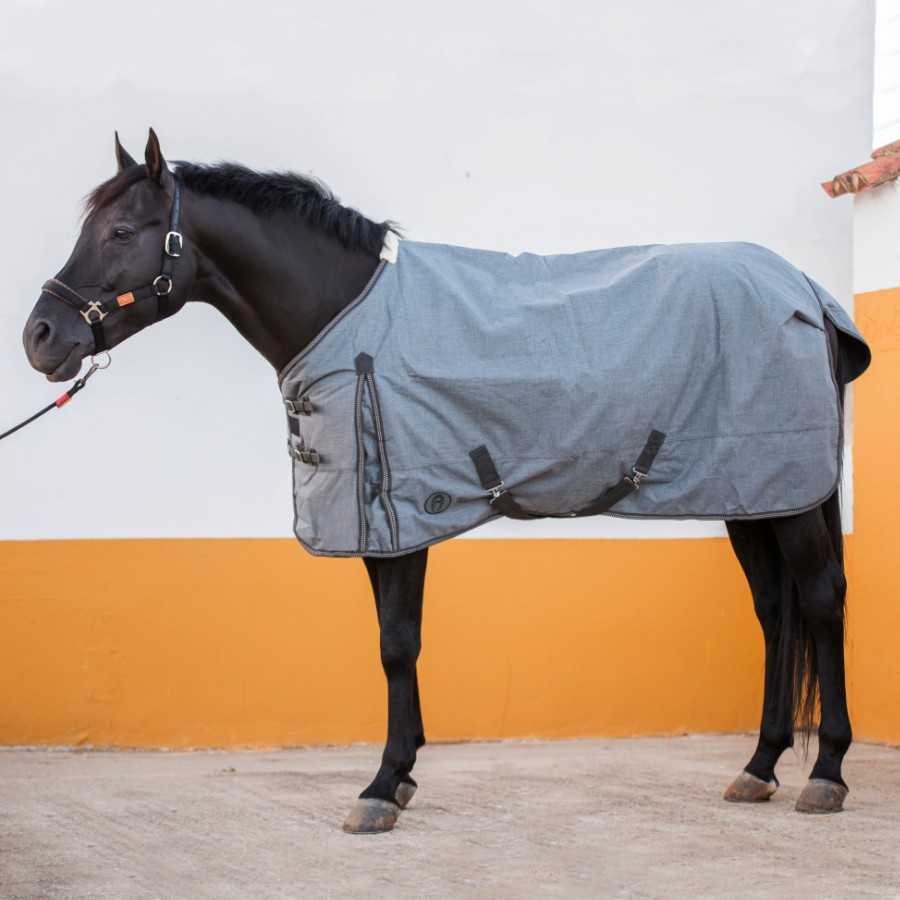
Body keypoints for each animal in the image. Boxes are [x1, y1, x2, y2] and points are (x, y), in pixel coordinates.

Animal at [22, 129, 871, 834]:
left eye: (121, 233)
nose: (41, 337)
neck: (347, 314)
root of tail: (806, 292)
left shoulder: (400, 514)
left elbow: (398, 645)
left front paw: (380, 787)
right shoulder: (381, 519)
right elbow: (393, 642)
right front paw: (398, 779)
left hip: (787, 493)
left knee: (821, 601)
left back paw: (825, 773)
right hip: (753, 493)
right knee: (774, 614)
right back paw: (758, 767)